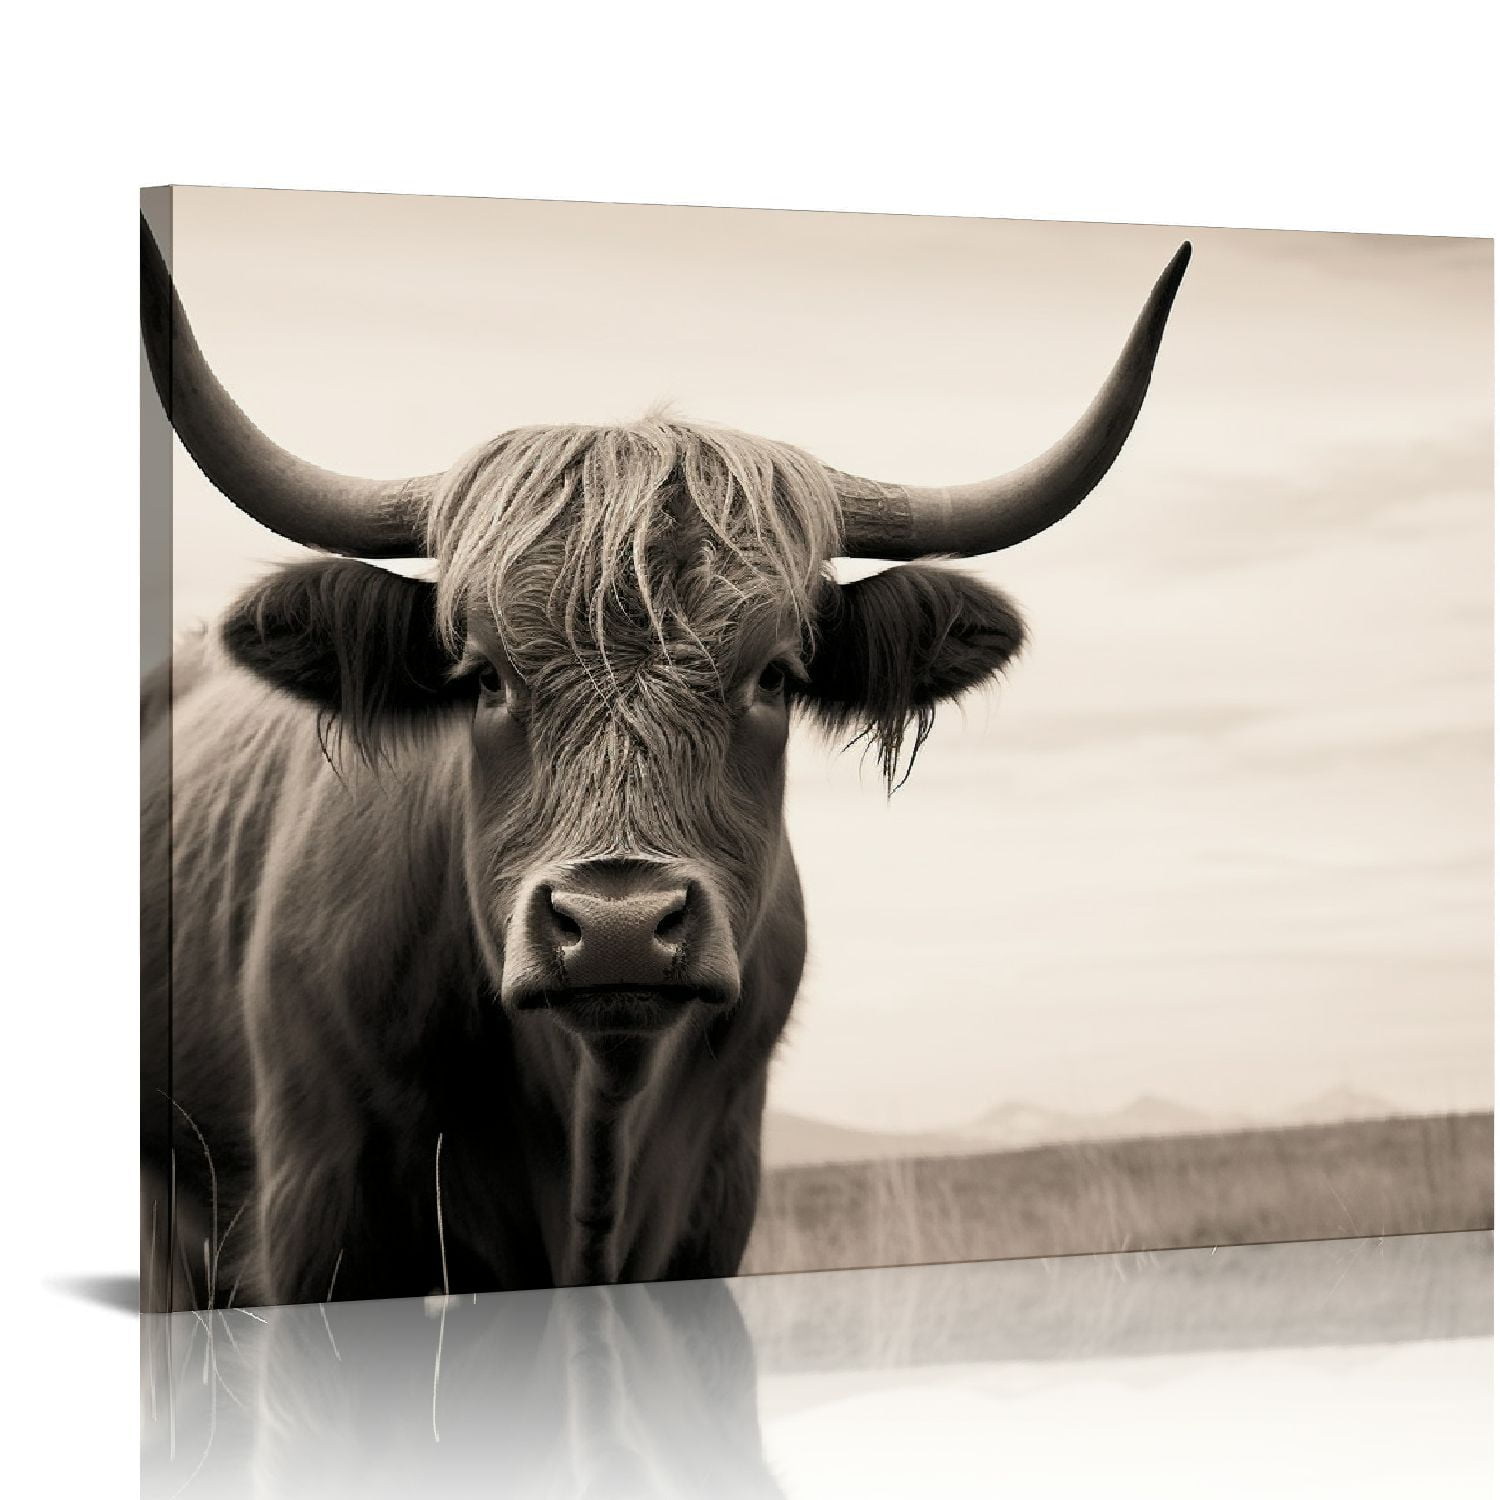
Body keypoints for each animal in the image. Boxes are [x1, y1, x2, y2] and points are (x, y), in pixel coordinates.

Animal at [140, 217, 1189, 1310]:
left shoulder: (709, 1208)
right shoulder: (319, 1217)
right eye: (484, 676)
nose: (617, 927)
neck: (594, 1118)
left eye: (774, 674)